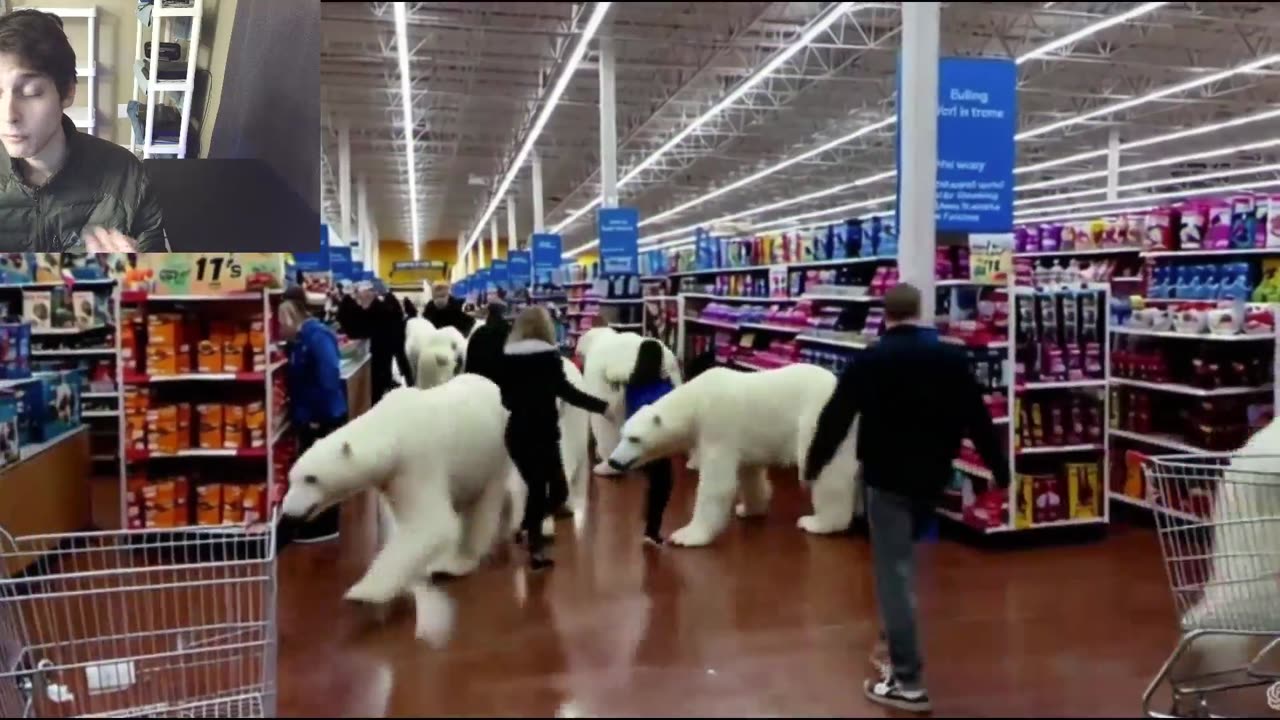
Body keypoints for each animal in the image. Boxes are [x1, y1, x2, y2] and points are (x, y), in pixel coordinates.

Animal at [280, 375, 513, 643]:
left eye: (311, 478)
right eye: (291, 479)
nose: (288, 513)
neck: (392, 429)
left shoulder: (416, 461)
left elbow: (430, 523)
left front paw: (362, 594)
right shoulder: (391, 478)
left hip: (492, 454)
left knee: (484, 506)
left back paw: (458, 561)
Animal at [606, 363, 860, 547]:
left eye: (635, 439)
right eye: (623, 434)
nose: (613, 461)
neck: (696, 399)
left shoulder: (718, 425)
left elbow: (717, 484)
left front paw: (687, 535)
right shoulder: (744, 441)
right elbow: (750, 473)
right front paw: (749, 509)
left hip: (821, 423)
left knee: (828, 473)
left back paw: (818, 522)